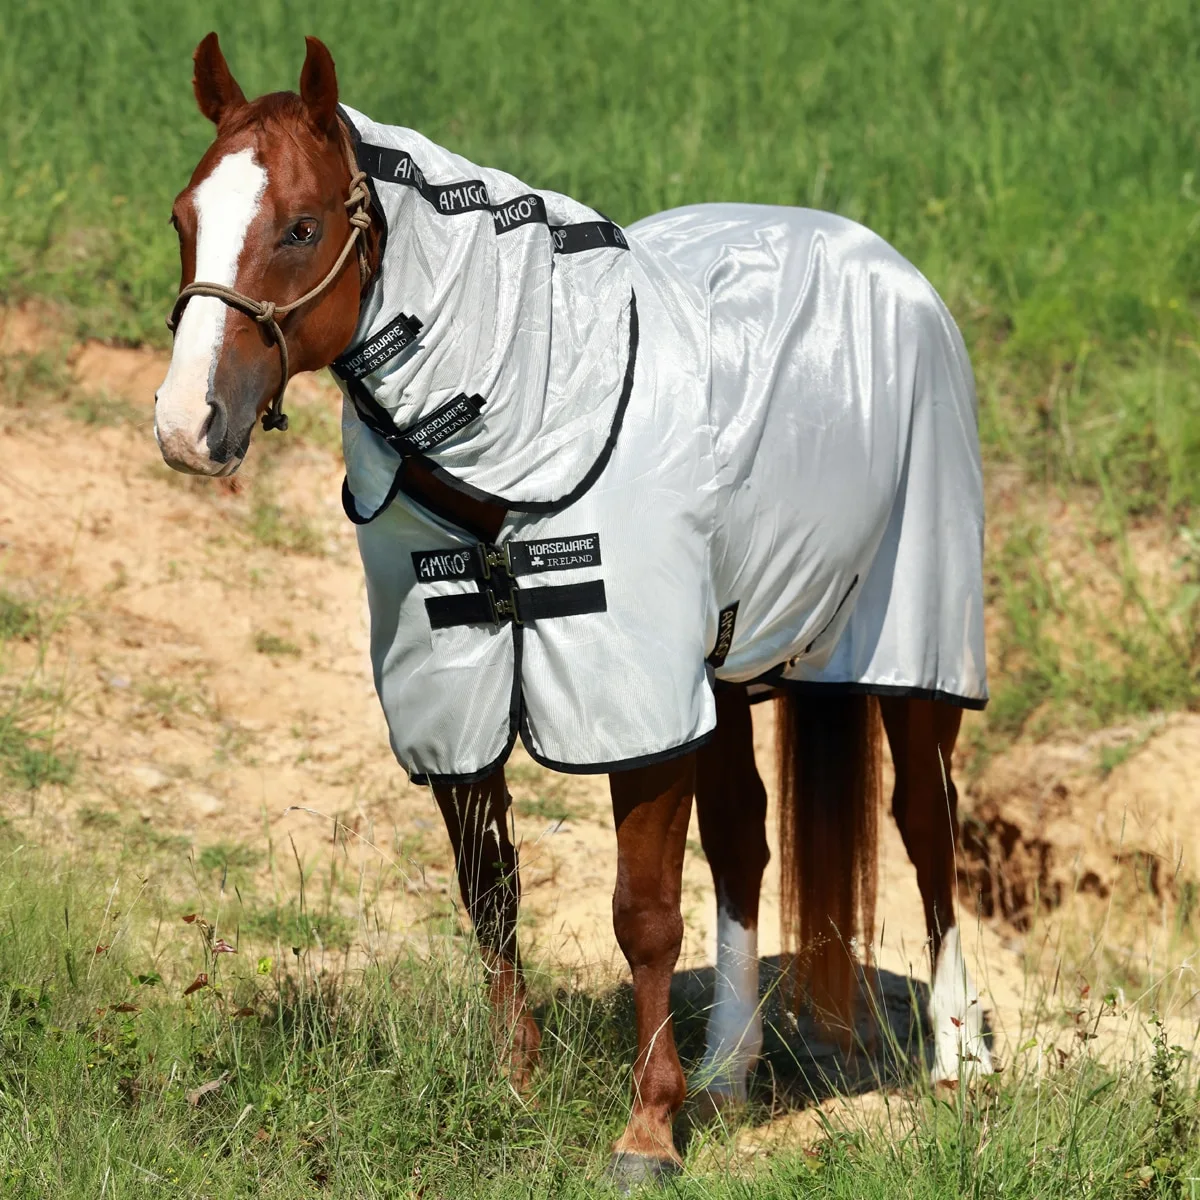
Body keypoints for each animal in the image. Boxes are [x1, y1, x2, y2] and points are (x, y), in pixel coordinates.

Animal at [154, 33, 993, 1187]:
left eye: (300, 226)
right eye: (184, 217)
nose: (187, 426)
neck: (529, 416)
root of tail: (890, 266)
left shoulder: (634, 706)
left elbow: (643, 916)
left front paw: (647, 1132)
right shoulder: (454, 696)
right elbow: (492, 897)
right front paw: (519, 1084)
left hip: (915, 653)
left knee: (926, 831)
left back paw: (960, 1063)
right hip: (726, 672)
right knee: (746, 844)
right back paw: (728, 1074)